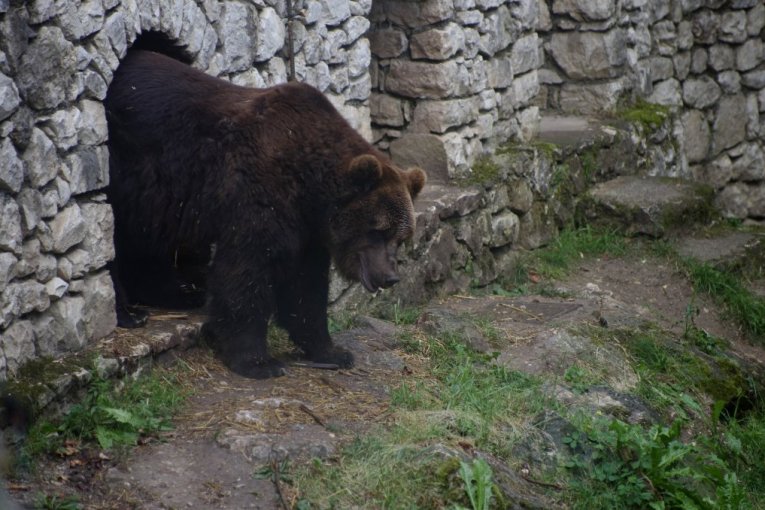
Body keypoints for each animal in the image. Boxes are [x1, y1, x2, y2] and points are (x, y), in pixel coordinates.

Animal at [105, 50, 426, 379]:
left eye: (402, 237)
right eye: (379, 230)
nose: (390, 277)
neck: (309, 182)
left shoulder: (306, 227)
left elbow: (306, 285)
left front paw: (332, 351)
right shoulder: (258, 192)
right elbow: (246, 270)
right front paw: (258, 361)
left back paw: (180, 293)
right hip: (127, 164)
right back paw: (131, 313)